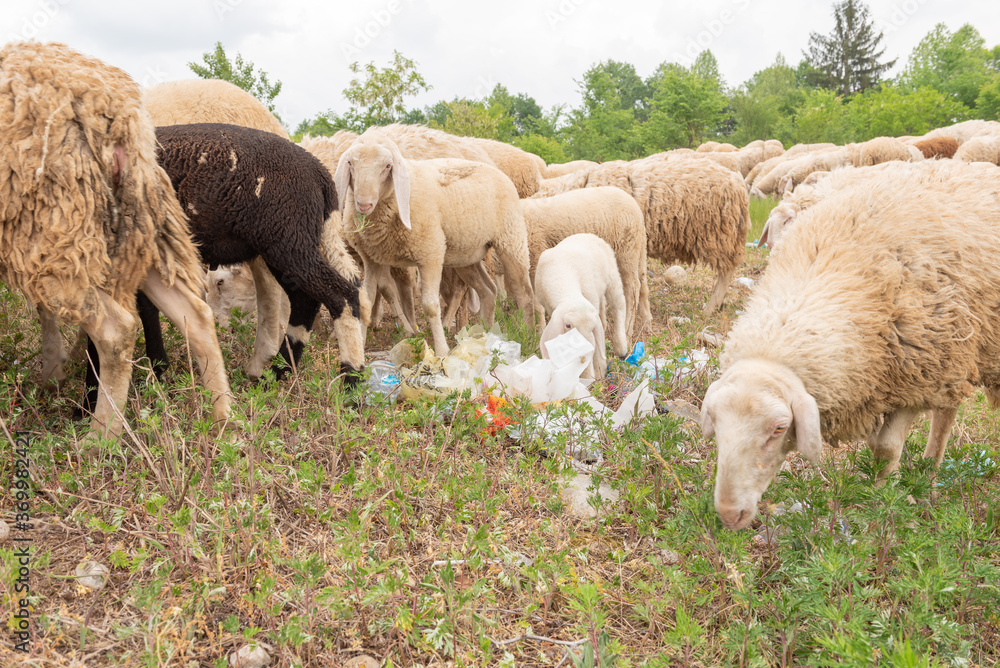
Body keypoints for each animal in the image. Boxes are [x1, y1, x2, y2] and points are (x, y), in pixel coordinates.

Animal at [0, 41, 231, 439]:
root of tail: (115, 110)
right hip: (143, 222)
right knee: (196, 316)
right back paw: (226, 420)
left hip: (56, 225)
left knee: (116, 331)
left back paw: (101, 437)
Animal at [334, 128, 538, 357]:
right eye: (350, 163)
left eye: (388, 166)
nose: (364, 204)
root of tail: (496, 169)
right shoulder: (372, 260)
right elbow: (366, 303)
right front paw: (358, 348)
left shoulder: (430, 254)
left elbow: (431, 306)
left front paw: (441, 350)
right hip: (466, 255)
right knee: (488, 290)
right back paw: (486, 334)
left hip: (511, 239)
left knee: (524, 294)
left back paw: (528, 336)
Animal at [519, 186, 651, 338]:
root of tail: (635, 206)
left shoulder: (535, 256)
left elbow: (536, 301)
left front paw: (539, 329)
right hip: (638, 248)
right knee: (643, 281)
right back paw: (646, 322)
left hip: (626, 250)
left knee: (633, 288)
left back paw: (627, 328)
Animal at [536, 234, 628, 380]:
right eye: (568, 325)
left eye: (592, 326)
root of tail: (587, 234)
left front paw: (596, 371)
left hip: (612, 278)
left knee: (618, 306)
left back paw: (621, 347)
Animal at [701, 159, 1000, 530]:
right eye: (715, 422)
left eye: (779, 428)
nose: (730, 514)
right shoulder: (885, 378)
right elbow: (878, 442)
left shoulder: (916, 373)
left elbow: (886, 447)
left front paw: (887, 499)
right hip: (959, 347)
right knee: (946, 412)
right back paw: (929, 476)